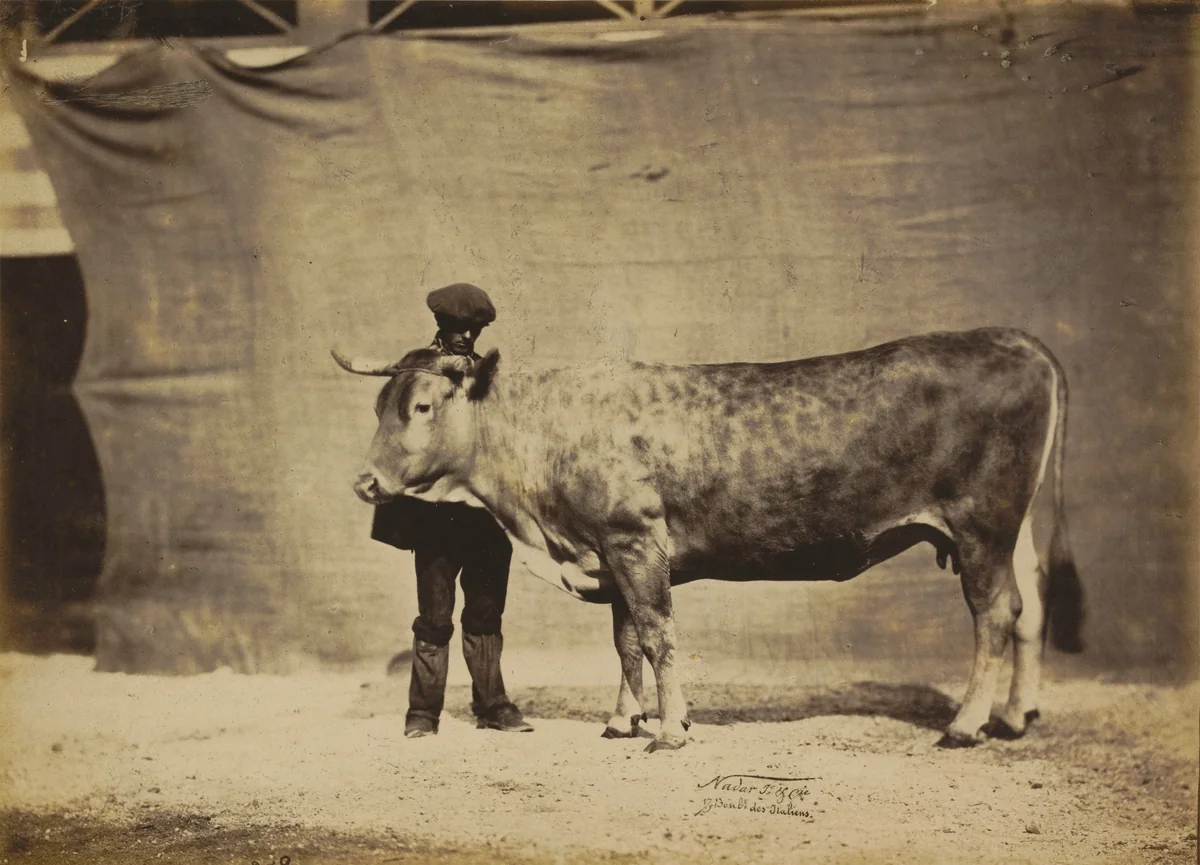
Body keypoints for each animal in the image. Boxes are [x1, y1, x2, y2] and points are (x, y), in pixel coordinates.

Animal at [334, 327, 1084, 753]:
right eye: (377, 405)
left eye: (422, 405)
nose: (365, 482)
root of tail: (1013, 338)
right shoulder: (610, 551)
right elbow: (627, 641)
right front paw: (624, 721)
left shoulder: (634, 541)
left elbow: (658, 635)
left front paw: (668, 731)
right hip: (1010, 529)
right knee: (1030, 606)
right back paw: (1016, 716)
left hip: (982, 523)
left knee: (994, 615)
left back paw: (964, 725)